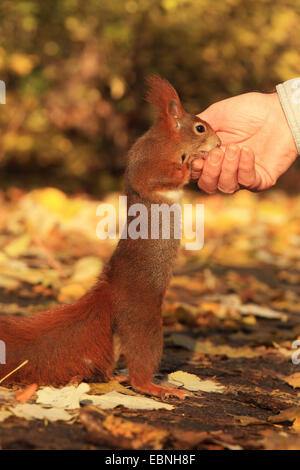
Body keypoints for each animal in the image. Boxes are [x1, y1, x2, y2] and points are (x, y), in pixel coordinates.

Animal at [0, 76, 220, 396]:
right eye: (200, 128)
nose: (219, 143)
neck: (168, 140)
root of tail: (110, 293)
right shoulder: (151, 162)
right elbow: (155, 178)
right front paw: (190, 165)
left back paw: (119, 377)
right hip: (143, 320)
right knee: (141, 364)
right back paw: (157, 387)